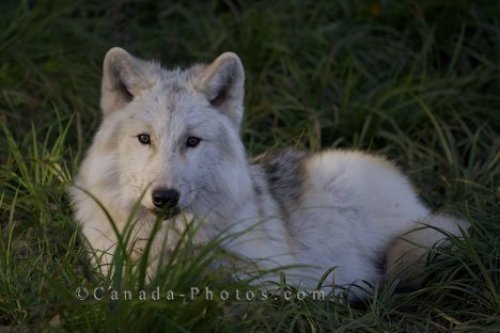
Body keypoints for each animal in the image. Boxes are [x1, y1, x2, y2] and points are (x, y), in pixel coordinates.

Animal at [72, 46, 466, 298]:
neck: (163, 241)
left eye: (192, 141)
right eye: (144, 138)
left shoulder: (270, 270)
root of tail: (420, 205)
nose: (165, 197)